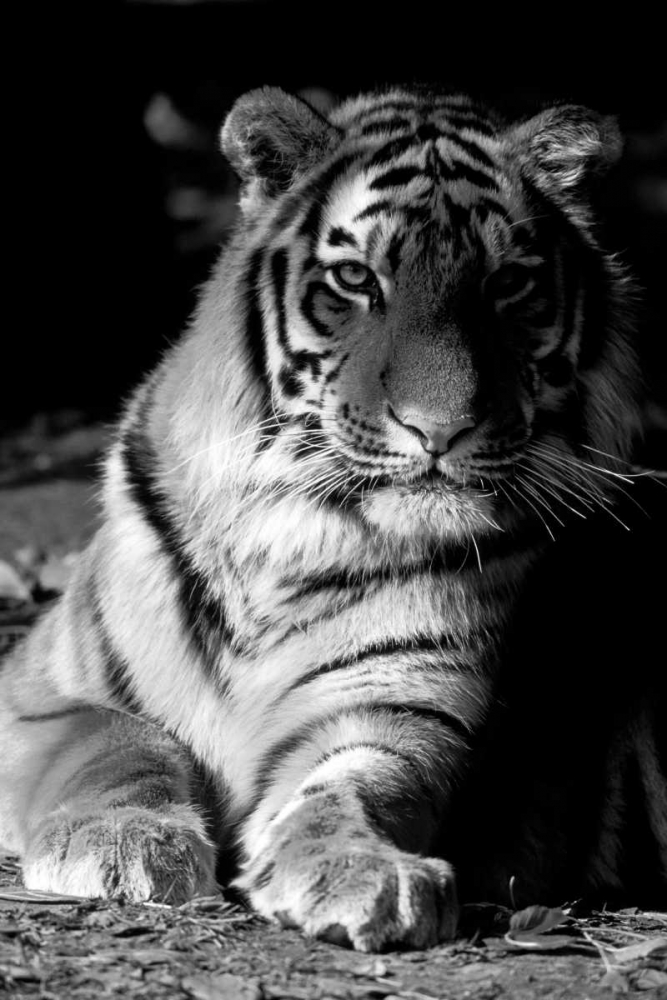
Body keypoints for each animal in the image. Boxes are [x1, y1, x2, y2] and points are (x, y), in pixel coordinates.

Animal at [1, 84, 665, 953]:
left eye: (505, 284)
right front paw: (120, 843)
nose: (440, 429)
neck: (288, 535)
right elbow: (117, 740)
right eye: (355, 278)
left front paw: (361, 871)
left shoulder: (399, 708)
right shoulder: (38, 689)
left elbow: (356, 786)